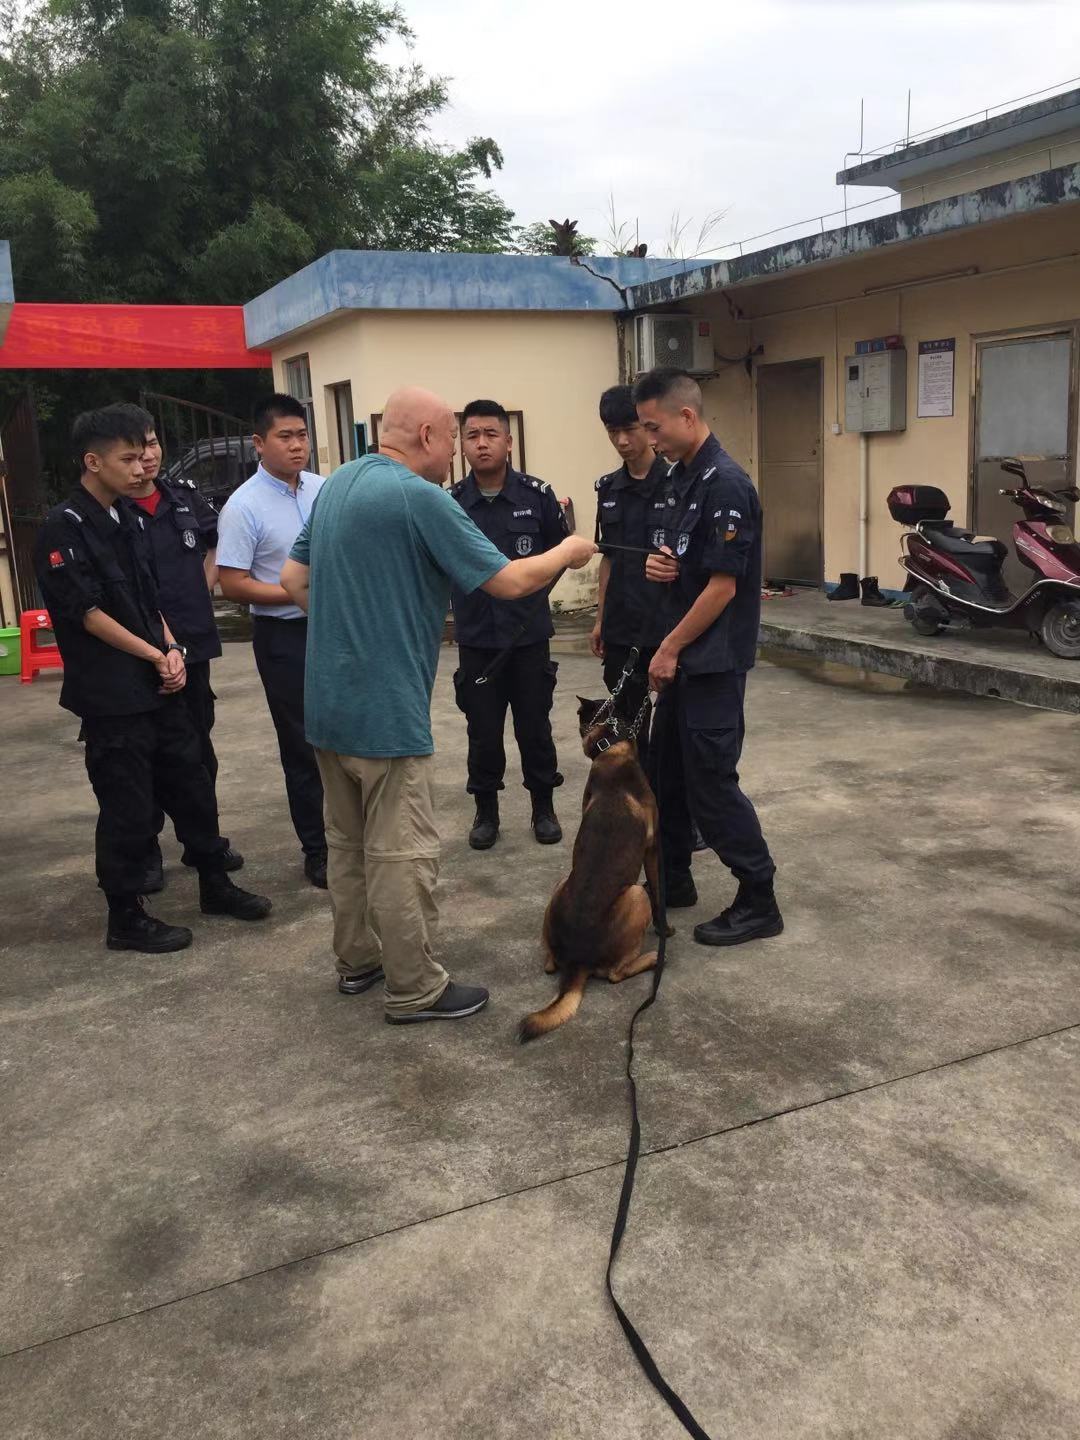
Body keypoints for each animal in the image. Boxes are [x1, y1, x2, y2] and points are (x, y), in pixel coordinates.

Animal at [521, 691, 673, 1042]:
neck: (611, 746)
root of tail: (578, 961)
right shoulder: (653, 849)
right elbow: (658, 890)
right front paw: (665, 929)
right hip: (635, 895)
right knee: (616, 973)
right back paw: (652, 959)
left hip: (561, 882)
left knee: (550, 963)